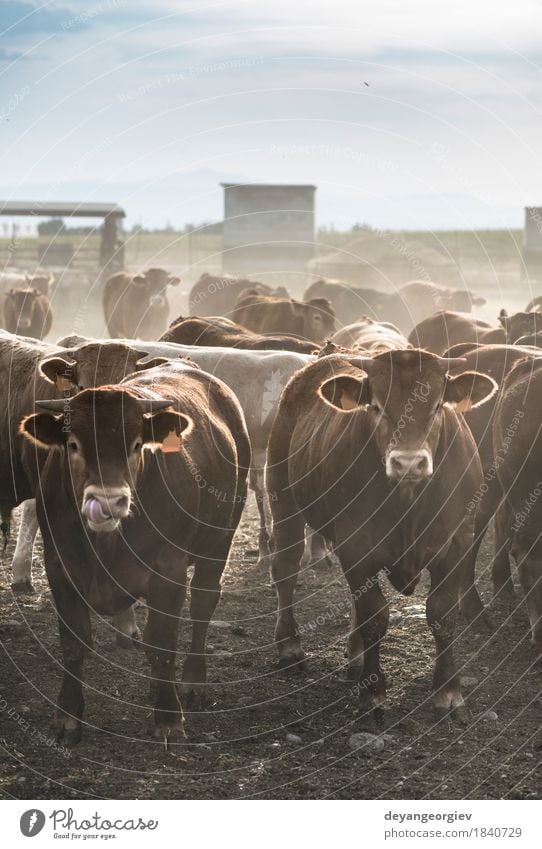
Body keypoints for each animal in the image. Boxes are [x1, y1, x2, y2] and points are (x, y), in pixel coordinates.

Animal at [20, 360, 251, 744]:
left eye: (137, 444)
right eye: (73, 444)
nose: (108, 502)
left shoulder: (168, 571)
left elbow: (162, 643)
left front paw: (169, 716)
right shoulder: (59, 568)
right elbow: (73, 642)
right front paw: (67, 716)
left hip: (220, 539)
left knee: (203, 603)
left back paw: (192, 681)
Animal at [266, 348, 498, 720]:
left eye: (437, 405)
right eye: (375, 406)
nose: (408, 462)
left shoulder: (457, 544)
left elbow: (442, 614)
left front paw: (448, 691)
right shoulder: (356, 545)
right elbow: (375, 616)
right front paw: (373, 692)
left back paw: (356, 655)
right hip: (282, 496)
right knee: (286, 569)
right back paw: (289, 647)